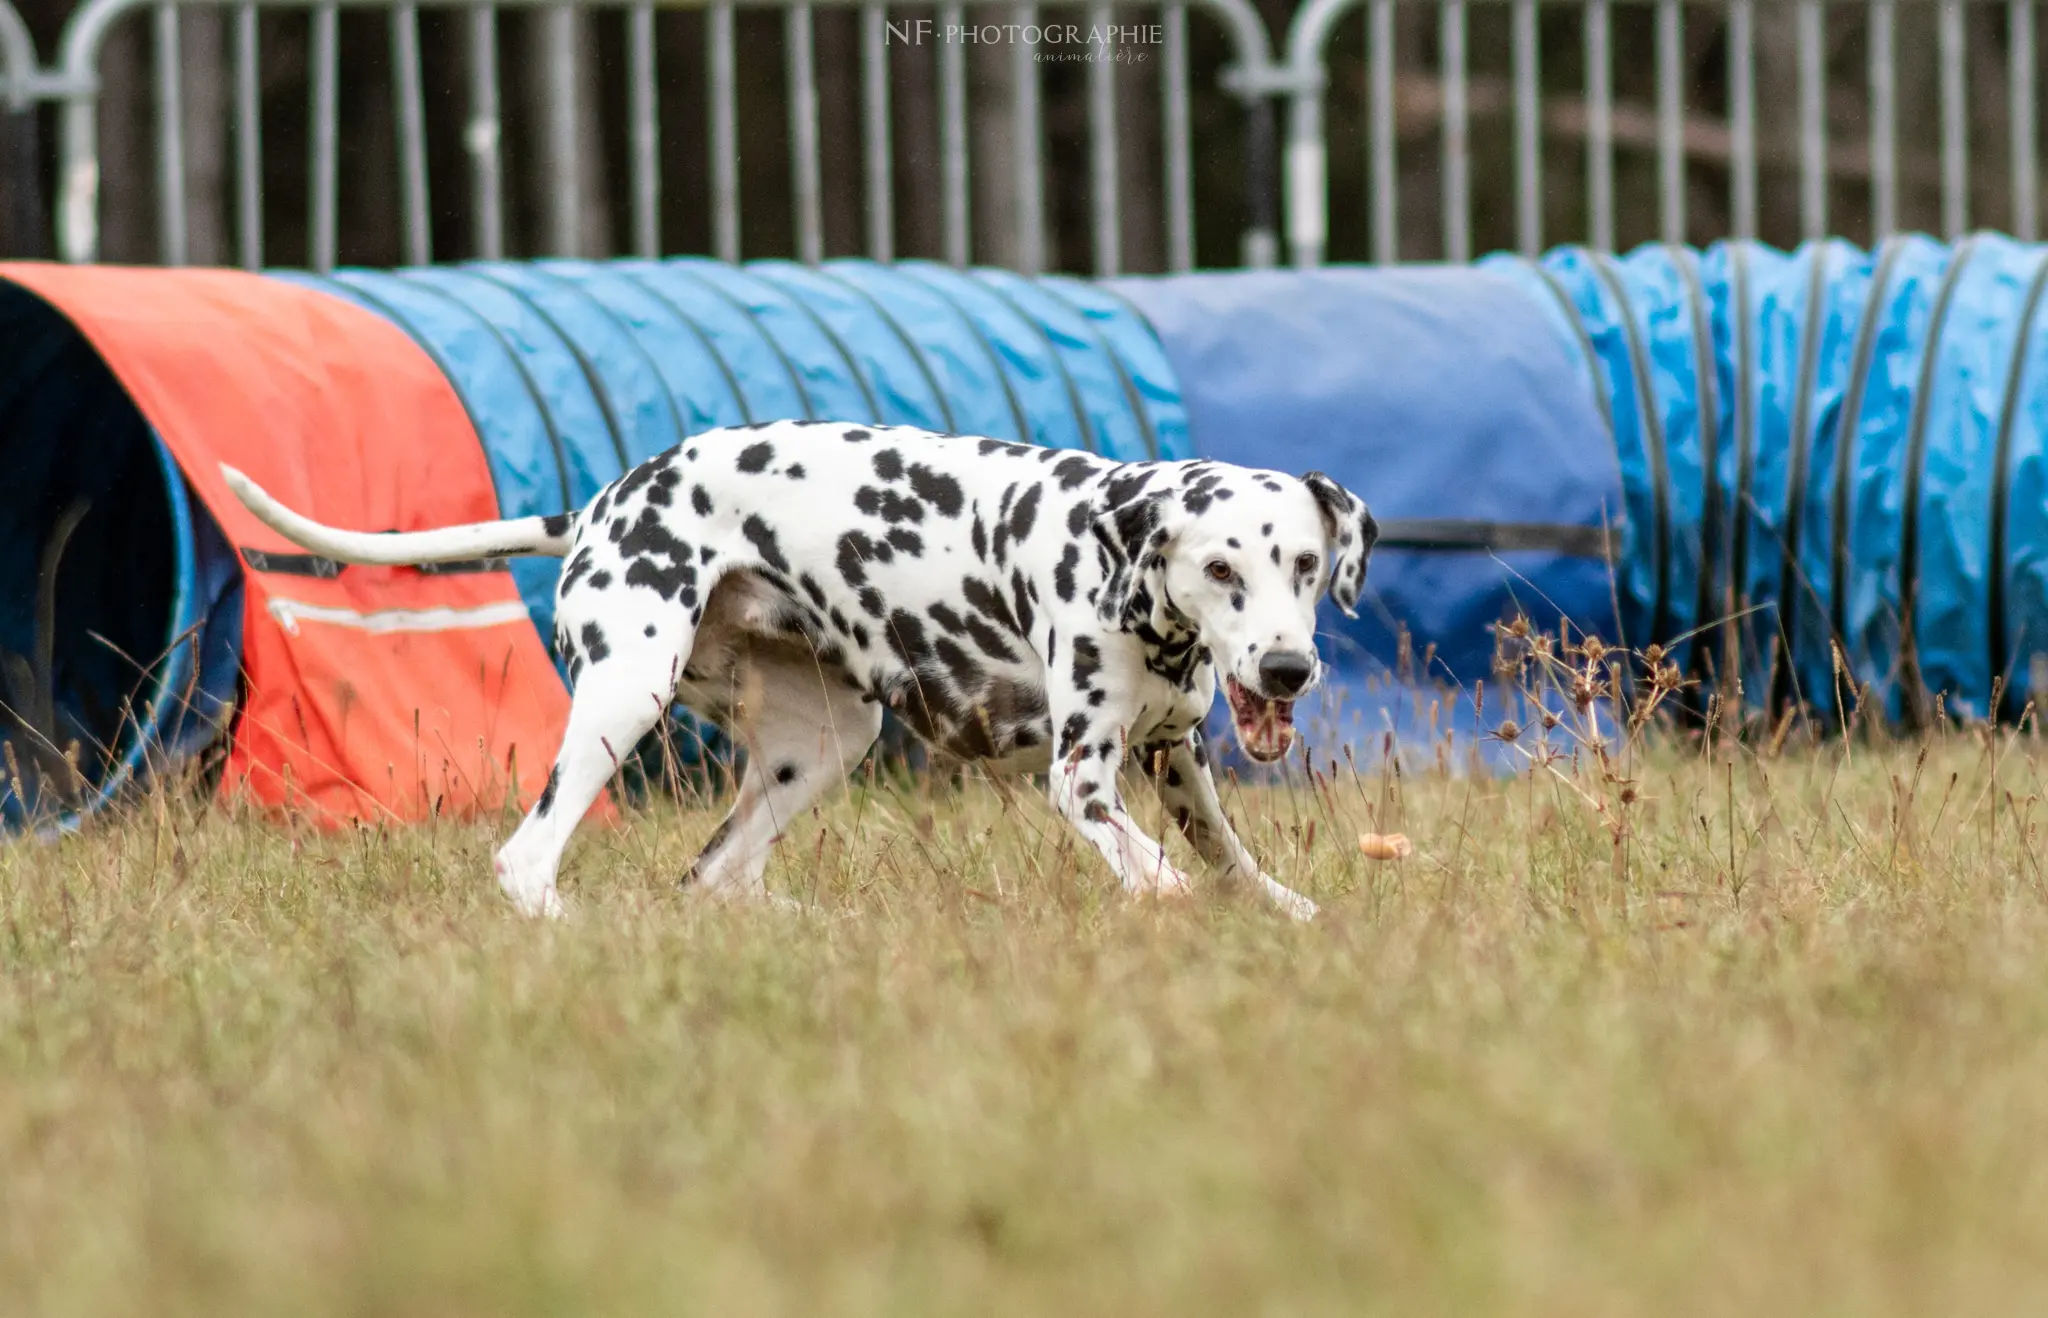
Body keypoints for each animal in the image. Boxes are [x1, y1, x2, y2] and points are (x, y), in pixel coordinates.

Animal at [220, 421, 1376, 916]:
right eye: (1220, 565)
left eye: (1302, 563)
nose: (1285, 668)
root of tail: (599, 504)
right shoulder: (1080, 777)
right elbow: (1152, 868)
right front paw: (1169, 898)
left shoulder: (1175, 759)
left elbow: (1233, 862)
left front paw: (1284, 914)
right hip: (623, 698)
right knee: (527, 858)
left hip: (821, 747)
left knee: (715, 878)